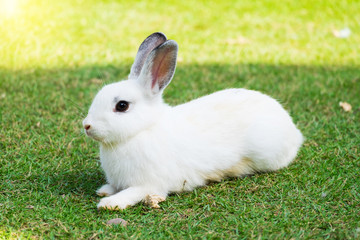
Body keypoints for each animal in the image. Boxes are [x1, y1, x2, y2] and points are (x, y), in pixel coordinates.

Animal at [83, 32, 302, 210]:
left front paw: (109, 203)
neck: (141, 130)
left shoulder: (150, 184)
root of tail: (294, 131)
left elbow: (132, 193)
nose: (86, 125)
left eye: (122, 106)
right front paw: (105, 190)